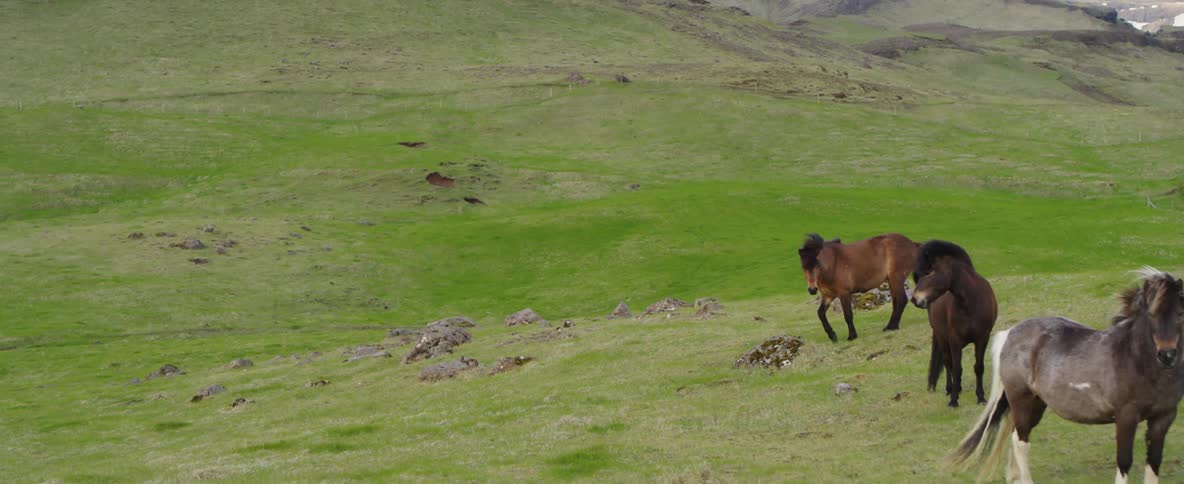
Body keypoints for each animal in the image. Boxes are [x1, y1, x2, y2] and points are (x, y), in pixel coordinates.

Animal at [909, 240, 997, 408]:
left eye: (929, 272)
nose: (915, 299)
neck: (971, 303)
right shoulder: (955, 340)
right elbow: (956, 369)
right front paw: (954, 400)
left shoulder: (983, 338)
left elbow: (979, 367)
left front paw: (981, 397)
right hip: (942, 338)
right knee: (948, 363)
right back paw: (950, 389)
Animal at [949, 268, 1184, 484]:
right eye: (1151, 314)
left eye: (1180, 313)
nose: (1167, 355)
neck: (1137, 360)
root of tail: (1009, 333)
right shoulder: (1126, 417)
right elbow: (1124, 461)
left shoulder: (1163, 419)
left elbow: (1154, 461)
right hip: (1022, 401)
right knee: (1021, 442)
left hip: (1035, 404)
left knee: (1015, 436)